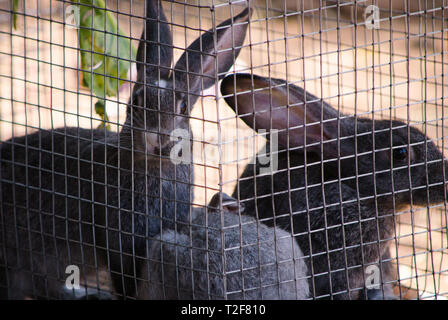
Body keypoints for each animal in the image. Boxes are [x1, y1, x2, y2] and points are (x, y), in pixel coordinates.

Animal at [0, 0, 250, 300]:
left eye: (182, 108)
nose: (158, 139)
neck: (153, 169)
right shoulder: (119, 241)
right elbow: (126, 280)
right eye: (137, 101)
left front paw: (225, 204)